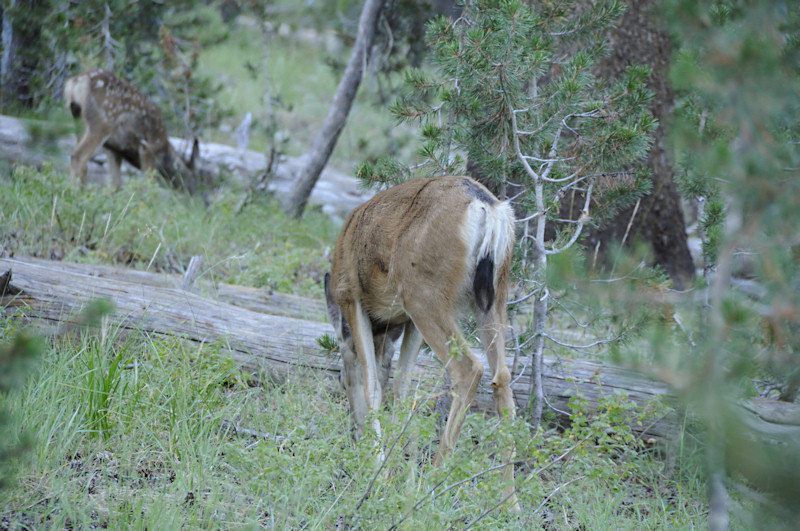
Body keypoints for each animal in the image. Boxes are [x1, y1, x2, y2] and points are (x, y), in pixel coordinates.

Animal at [63, 69, 200, 194]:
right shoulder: (148, 148)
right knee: (77, 157)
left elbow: (115, 184)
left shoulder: (114, 149)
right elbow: (150, 183)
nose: (194, 196)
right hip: (103, 122)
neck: (163, 151)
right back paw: (76, 193)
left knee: (83, 162)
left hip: (78, 118)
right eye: (194, 179)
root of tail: (76, 81)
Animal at [324, 175, 520, 512]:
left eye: (341, 379)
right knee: (502, 379)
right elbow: (401, 387)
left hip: (423, 292)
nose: (353, 432)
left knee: (469, 369)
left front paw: (379, 473)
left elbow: (373, 384)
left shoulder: (351, 297)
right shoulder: (407, 322)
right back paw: (510, 503)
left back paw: (432, 486)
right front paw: (395, 468)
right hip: (493, 296)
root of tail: (488, 208)